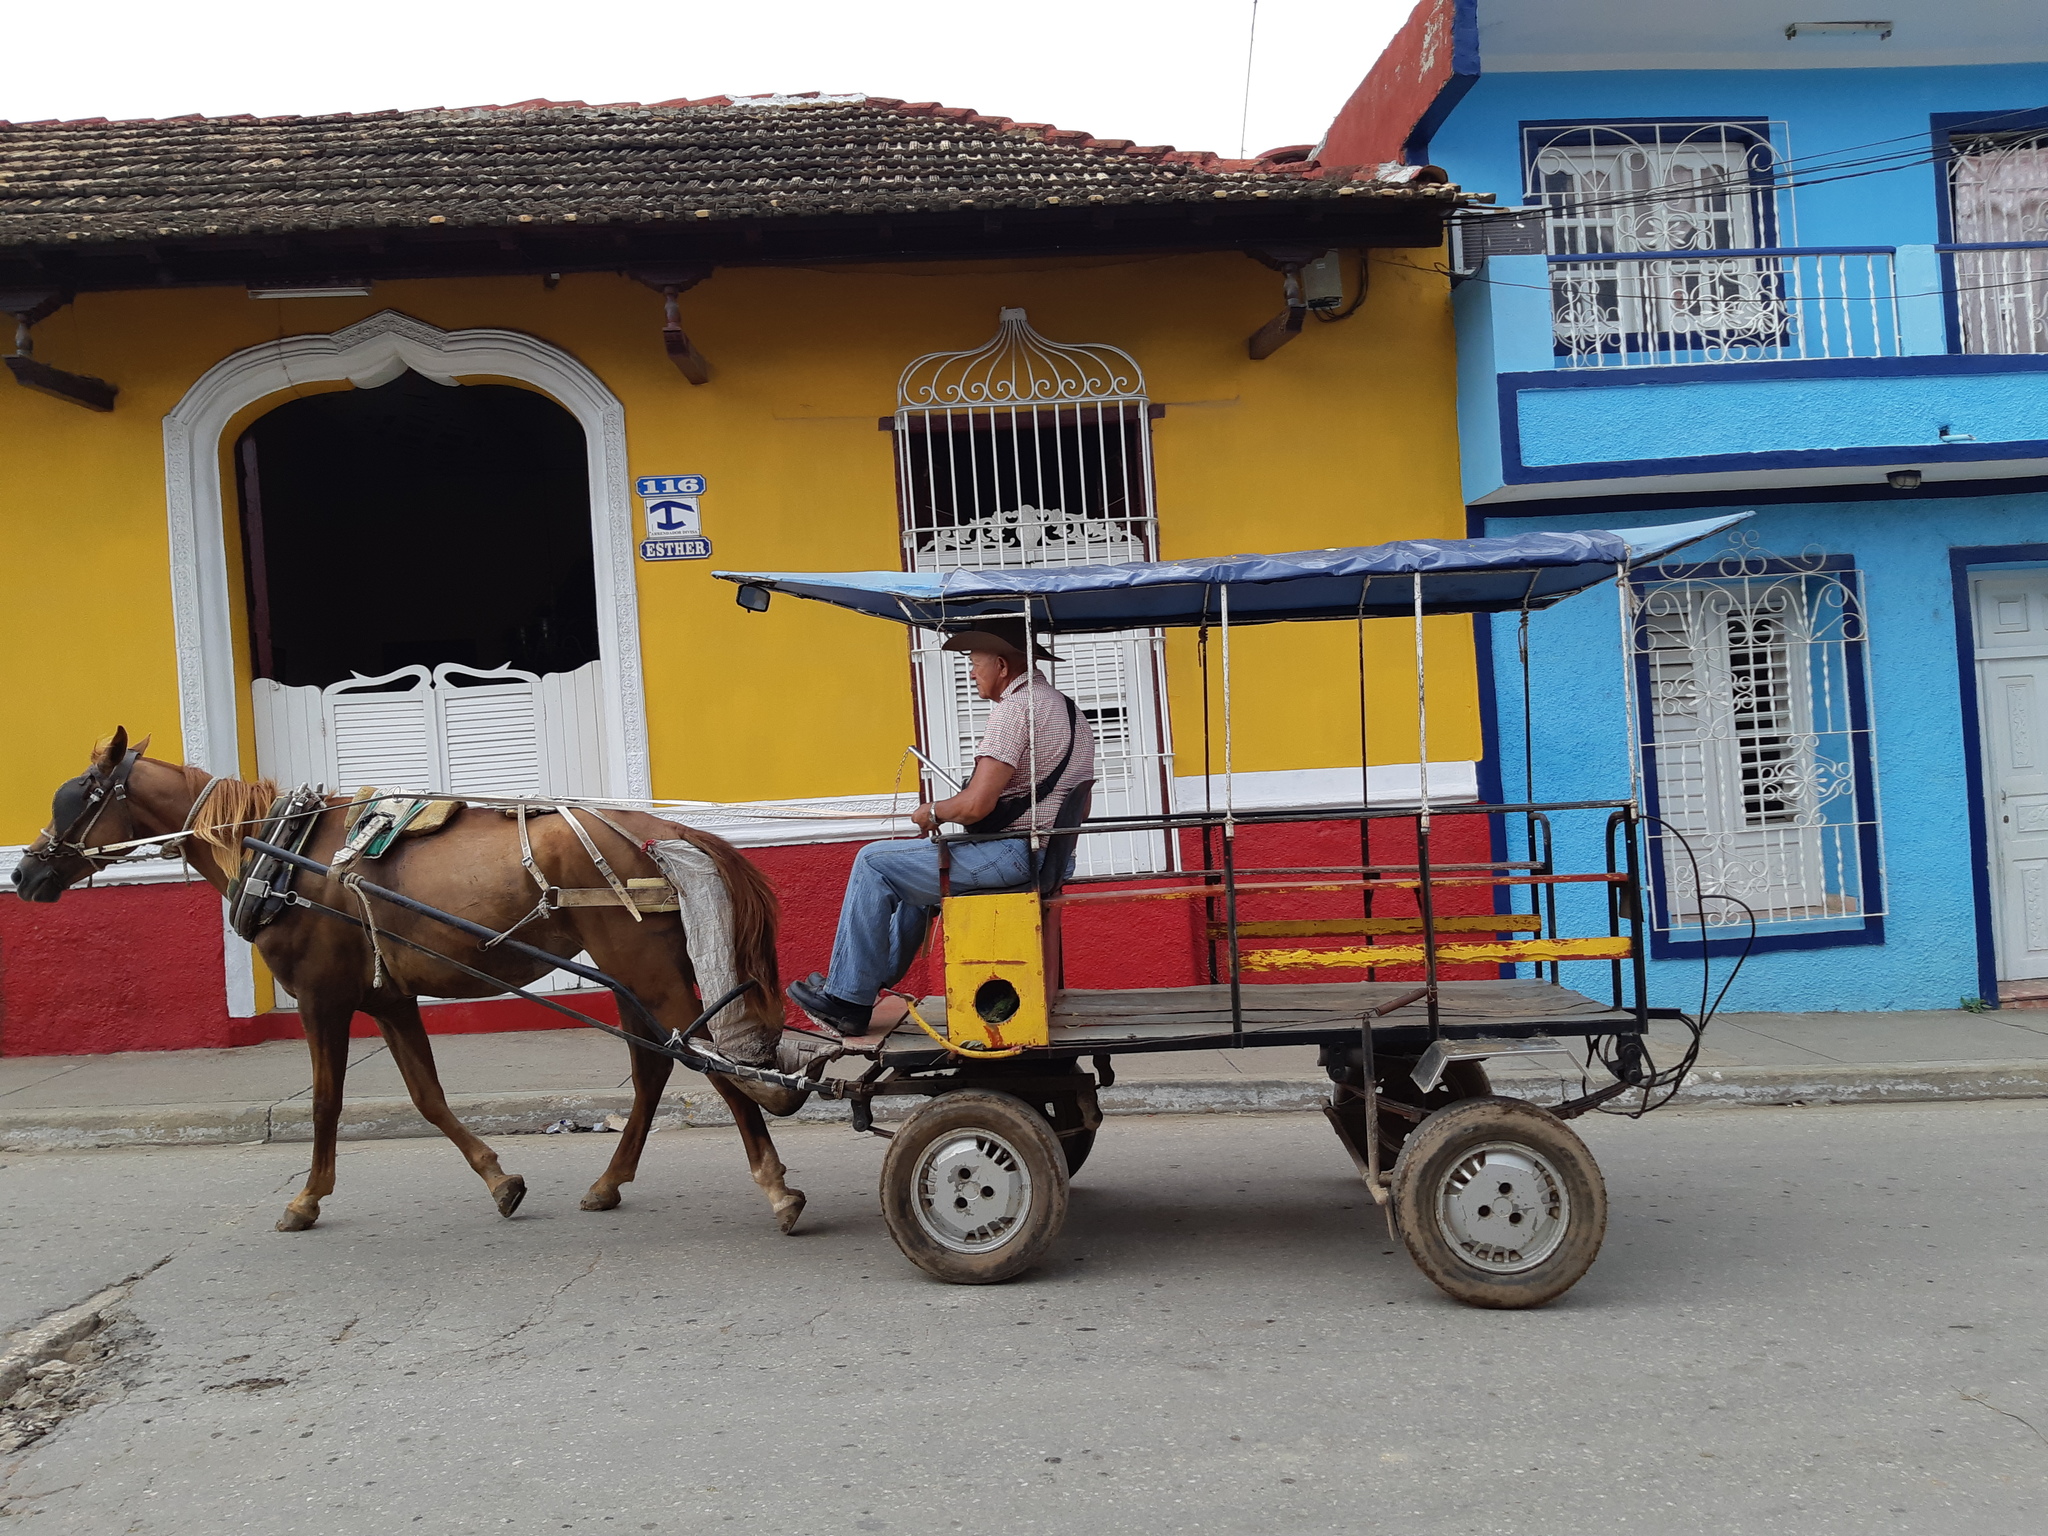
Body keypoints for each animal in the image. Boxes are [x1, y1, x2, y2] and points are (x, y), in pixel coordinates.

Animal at [18, 729, 815, 1236]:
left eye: (77, 798)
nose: (26, 873)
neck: (283, 853)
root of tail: (658, 830)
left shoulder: (322, 999)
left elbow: (327, 1104)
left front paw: (306, 1199)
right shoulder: (388, 998)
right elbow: (428, 1097)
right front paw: (500, 1180)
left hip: (643, 970)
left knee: (715, 1065)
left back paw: (776, 1186)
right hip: (629, 974)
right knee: (658, 1066)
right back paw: (609, 1182)